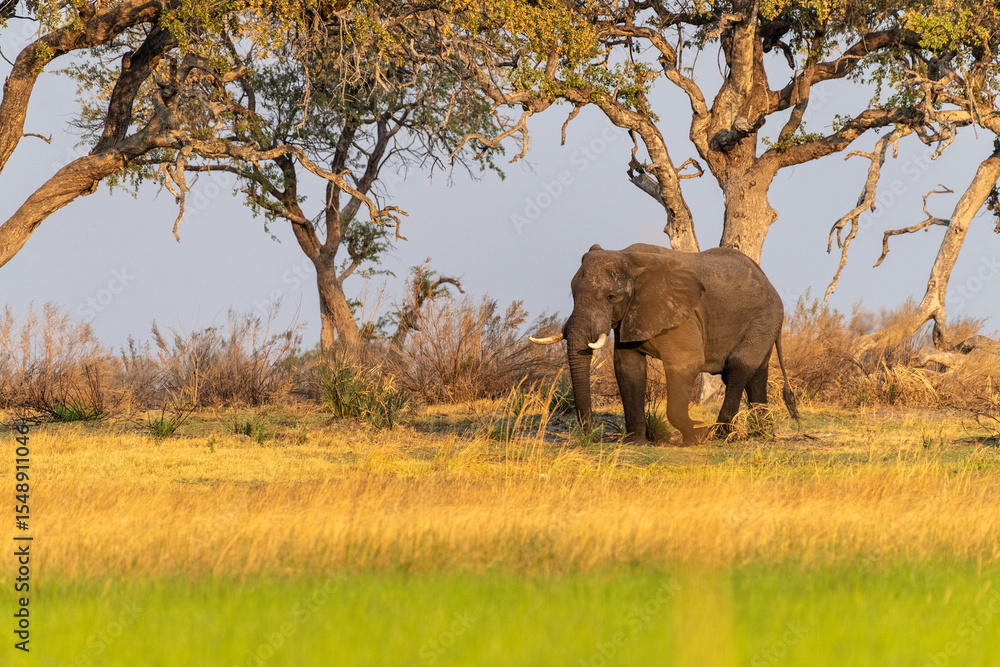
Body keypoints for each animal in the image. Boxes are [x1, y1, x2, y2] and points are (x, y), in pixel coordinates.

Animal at [530, 243, 799, 446]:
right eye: (573, 293)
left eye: (611, 297)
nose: (593, 436)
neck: (628, 258)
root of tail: (769, 282)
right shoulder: (632, 316)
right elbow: (628, 367)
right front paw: (635, 443)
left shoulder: (681, 315)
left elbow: (686, 362)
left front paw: (697, 437)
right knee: (756, 374)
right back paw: (761, 433)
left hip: (764, 318)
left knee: (737, 369)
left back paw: (719, 435)